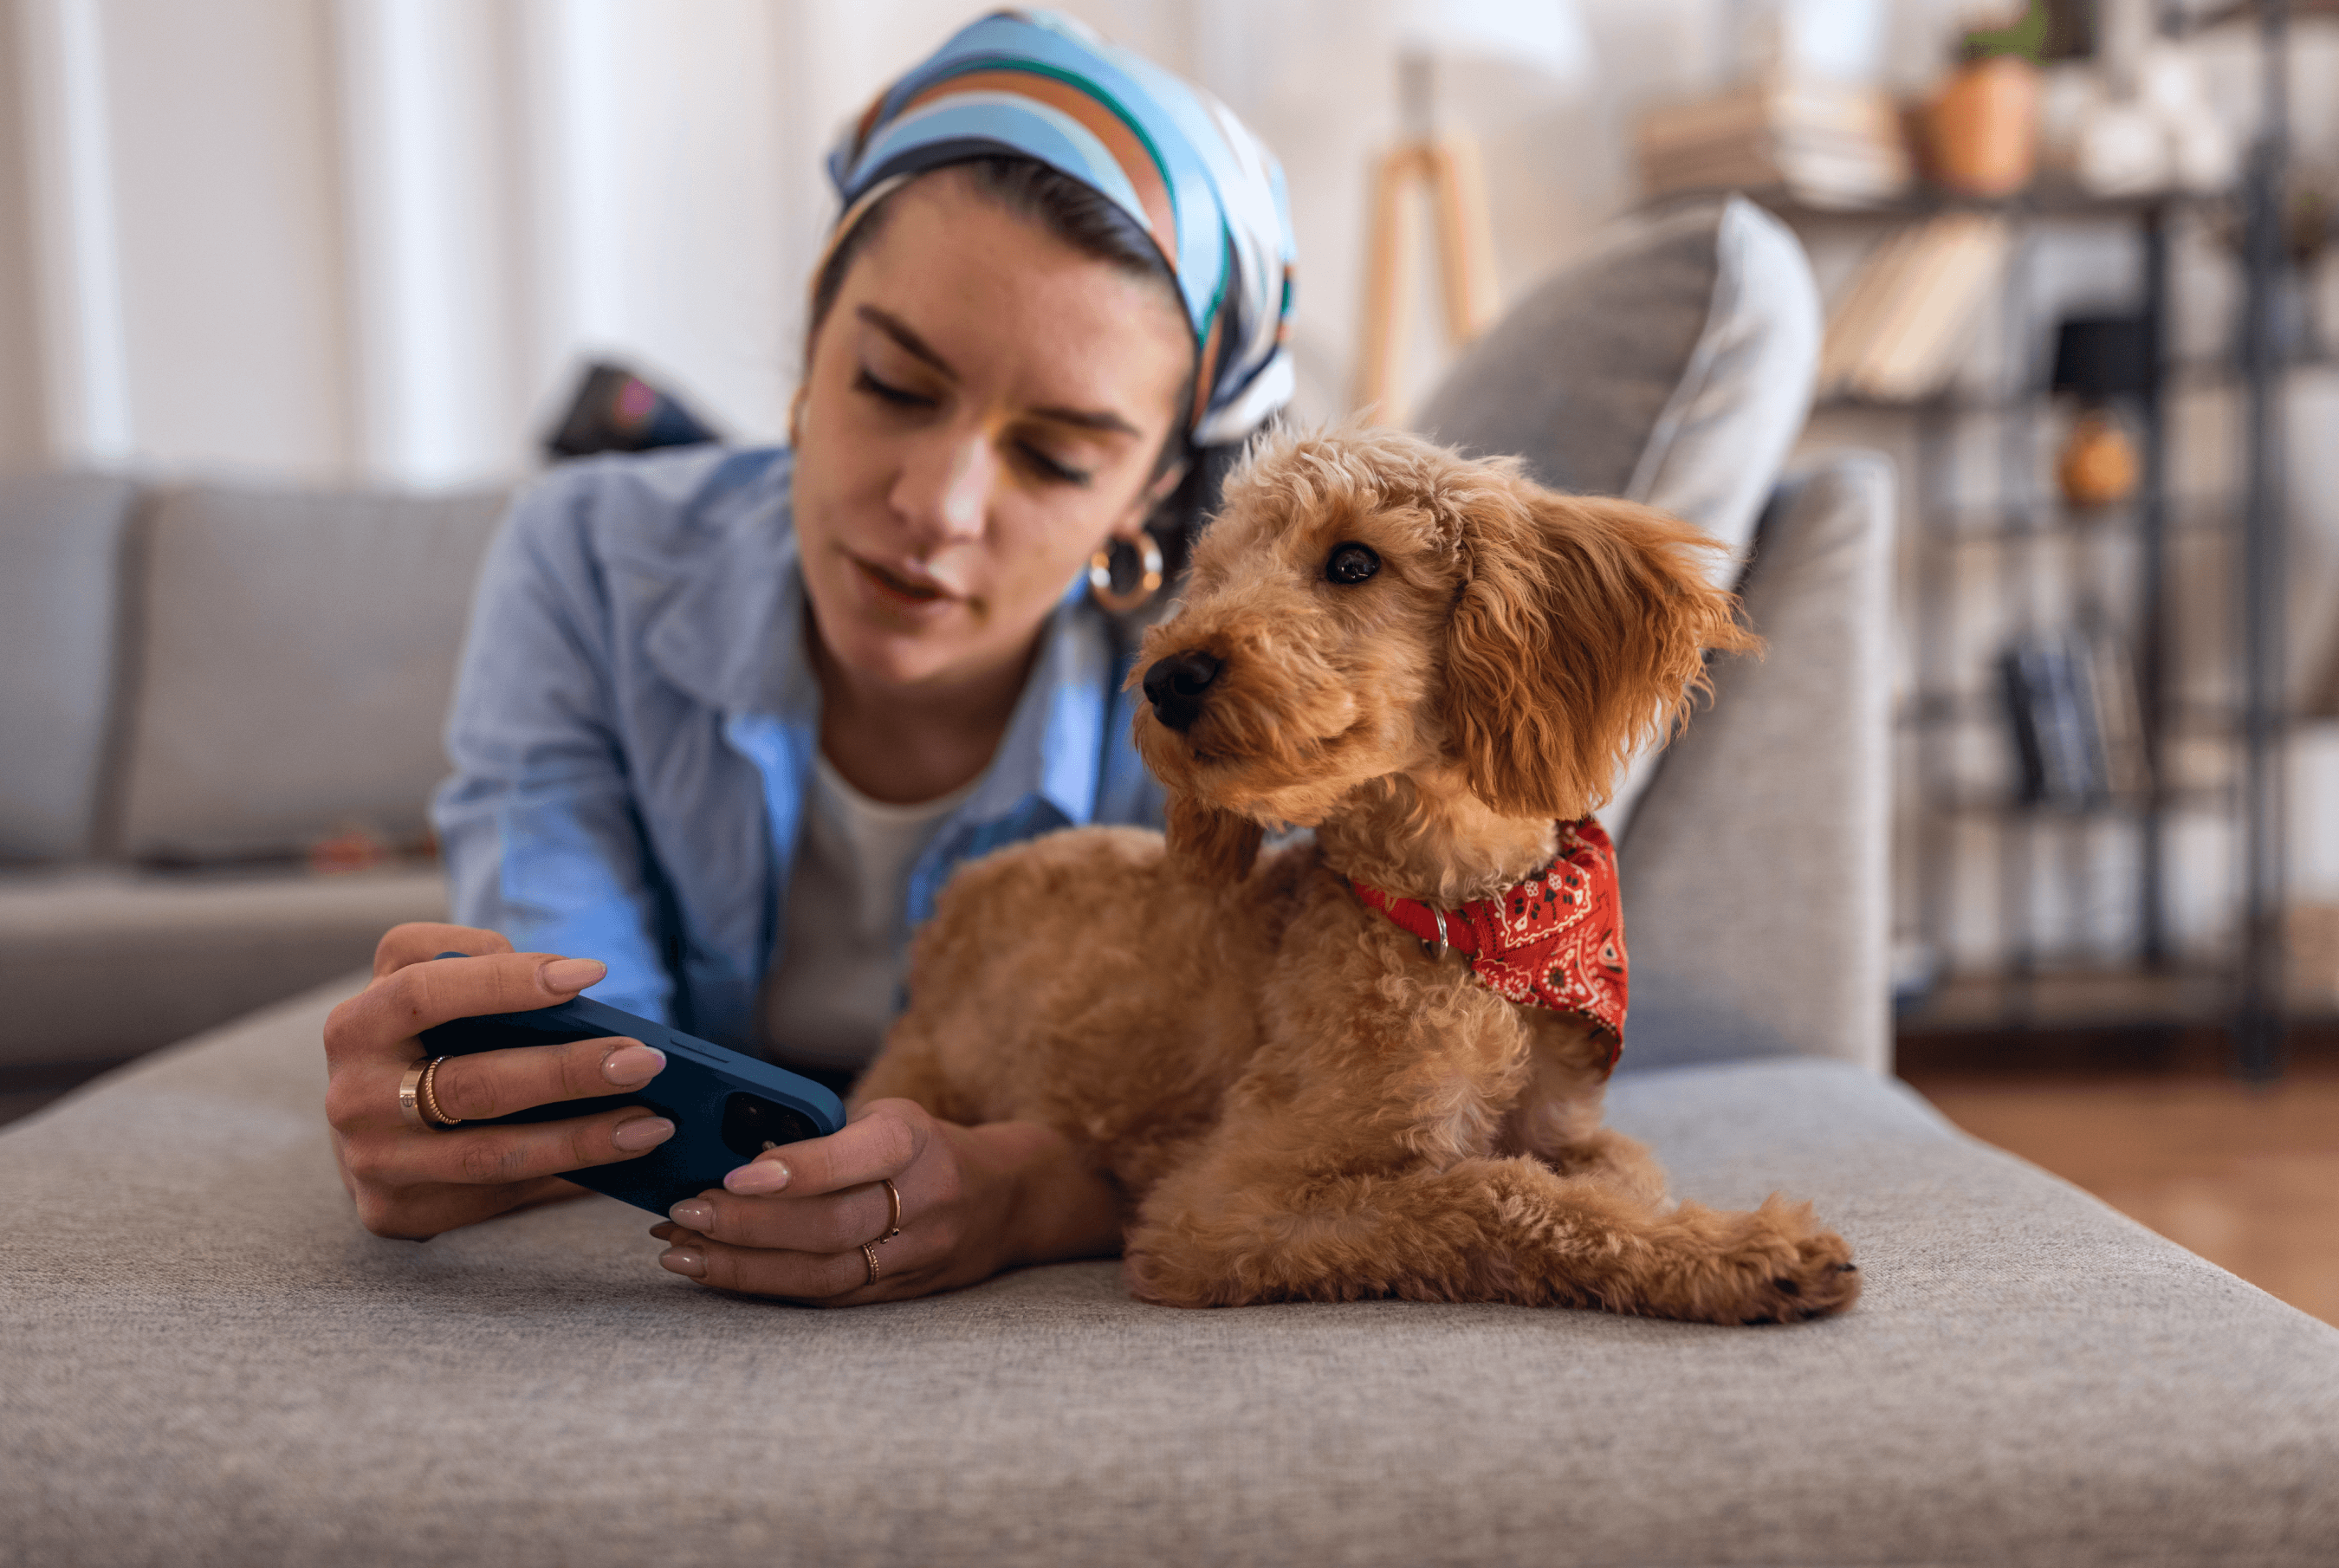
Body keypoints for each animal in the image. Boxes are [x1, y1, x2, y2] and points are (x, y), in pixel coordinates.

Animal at [860, 431, 1862, 1329]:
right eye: (1214, 577)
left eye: (1353, 561)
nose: (1168, 677)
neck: (1468, 925)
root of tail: (948, 909)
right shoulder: (1221, 1208)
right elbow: (1486, 1196)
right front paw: (1745, 1251)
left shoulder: (1569, 1123)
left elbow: (1611, 1172)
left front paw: (1687, 1235)